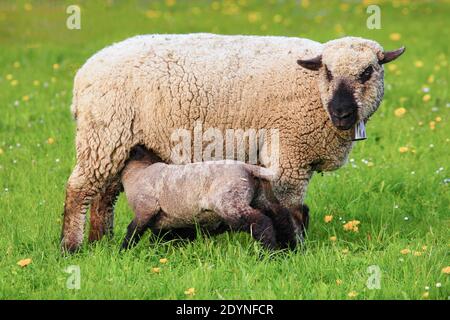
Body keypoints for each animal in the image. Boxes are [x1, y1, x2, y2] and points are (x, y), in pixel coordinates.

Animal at [121, 147, 308, 250]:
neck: (136, 174)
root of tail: (248, 168)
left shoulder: (146, 208)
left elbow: (132, 231)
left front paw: (123, 252)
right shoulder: (166, 223)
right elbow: (156, 239)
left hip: (230, 203)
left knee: (261, 222)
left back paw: (268, 254)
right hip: (260, 199)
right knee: (281, 218)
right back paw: (288, 250)